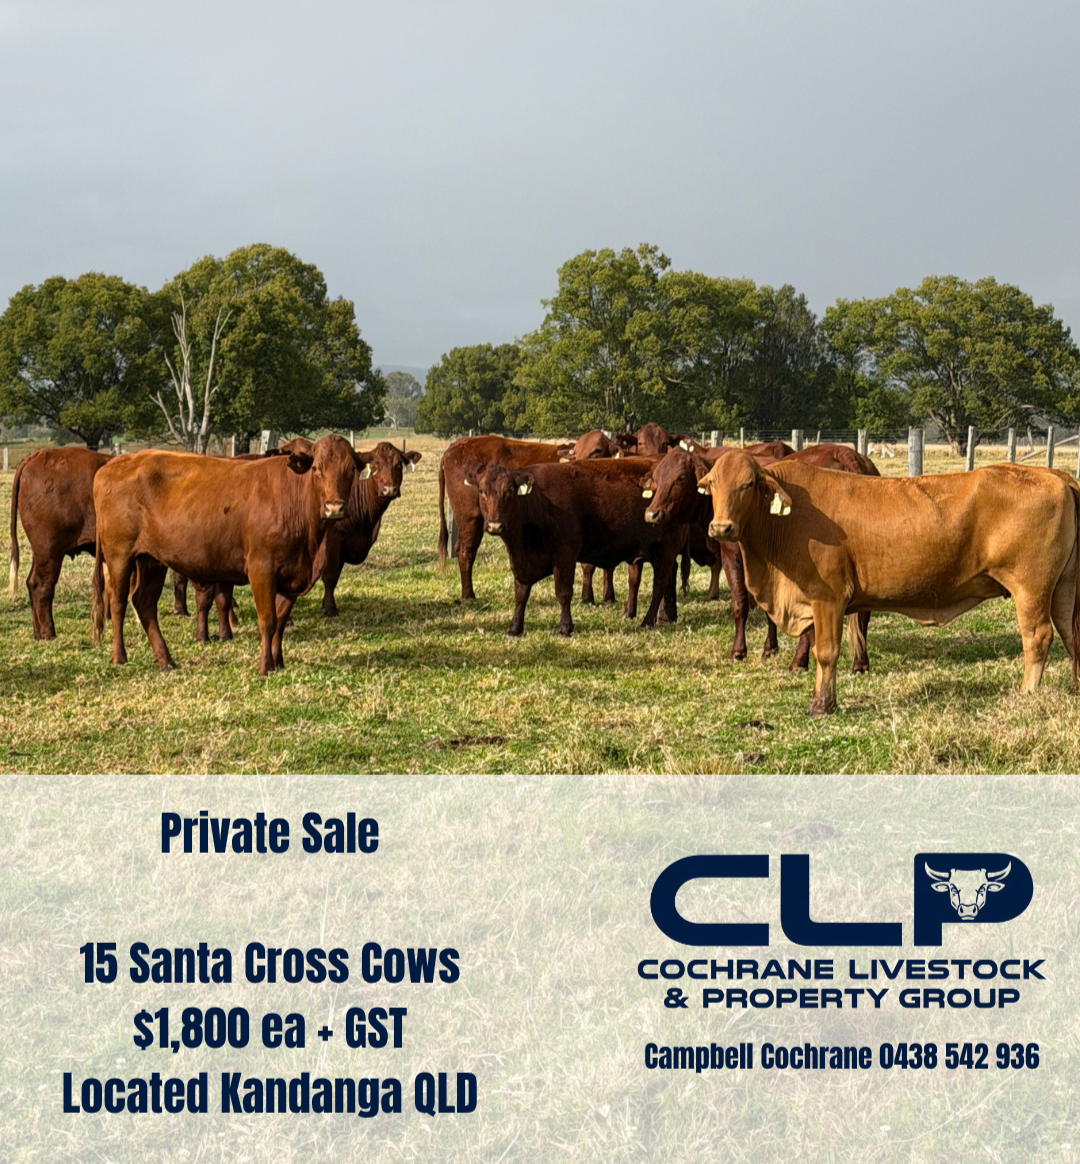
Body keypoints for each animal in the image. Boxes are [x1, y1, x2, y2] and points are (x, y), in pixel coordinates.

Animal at [8, 447, 112, 639]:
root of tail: (37, 455)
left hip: (40, 552)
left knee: (31, 582)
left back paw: (38, 632)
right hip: (49, 550)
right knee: (41, 584)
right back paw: (48, 633)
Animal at [90, 434, 365, 675]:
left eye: (351, 469)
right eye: (317, 469)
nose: (334, 508)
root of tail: (112, 465)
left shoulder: (292, 576)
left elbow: (281, 621)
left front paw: (279, 662)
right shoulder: (261, 568)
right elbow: (268, 620)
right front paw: (265, 667)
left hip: (152, 561)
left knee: (145, 603)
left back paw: (166, 660)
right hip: (119, 556)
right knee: (118, 602)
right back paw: (119, 656)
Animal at [473, 457, 684, 636]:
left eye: (509, 491)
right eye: (482, 491)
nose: (495, 525)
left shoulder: (565, 552)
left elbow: (563, 592)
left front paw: (565, 627)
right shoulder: (523, 562)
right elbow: (521, 594)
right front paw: (515, 628)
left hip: (666, 547)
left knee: (660, 583)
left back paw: (648, 621)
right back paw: (666, 615)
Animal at [697, 451, 1080, 715]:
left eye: (748, 484)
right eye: (713, 485)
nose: (720, 528)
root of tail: (1056, 475)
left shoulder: (827, 598)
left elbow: (827, 653)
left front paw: (823, 704)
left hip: (1031, 588)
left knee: (1038, 637)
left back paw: (1028, 692)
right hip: (1063, 589)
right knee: (1070, 633)